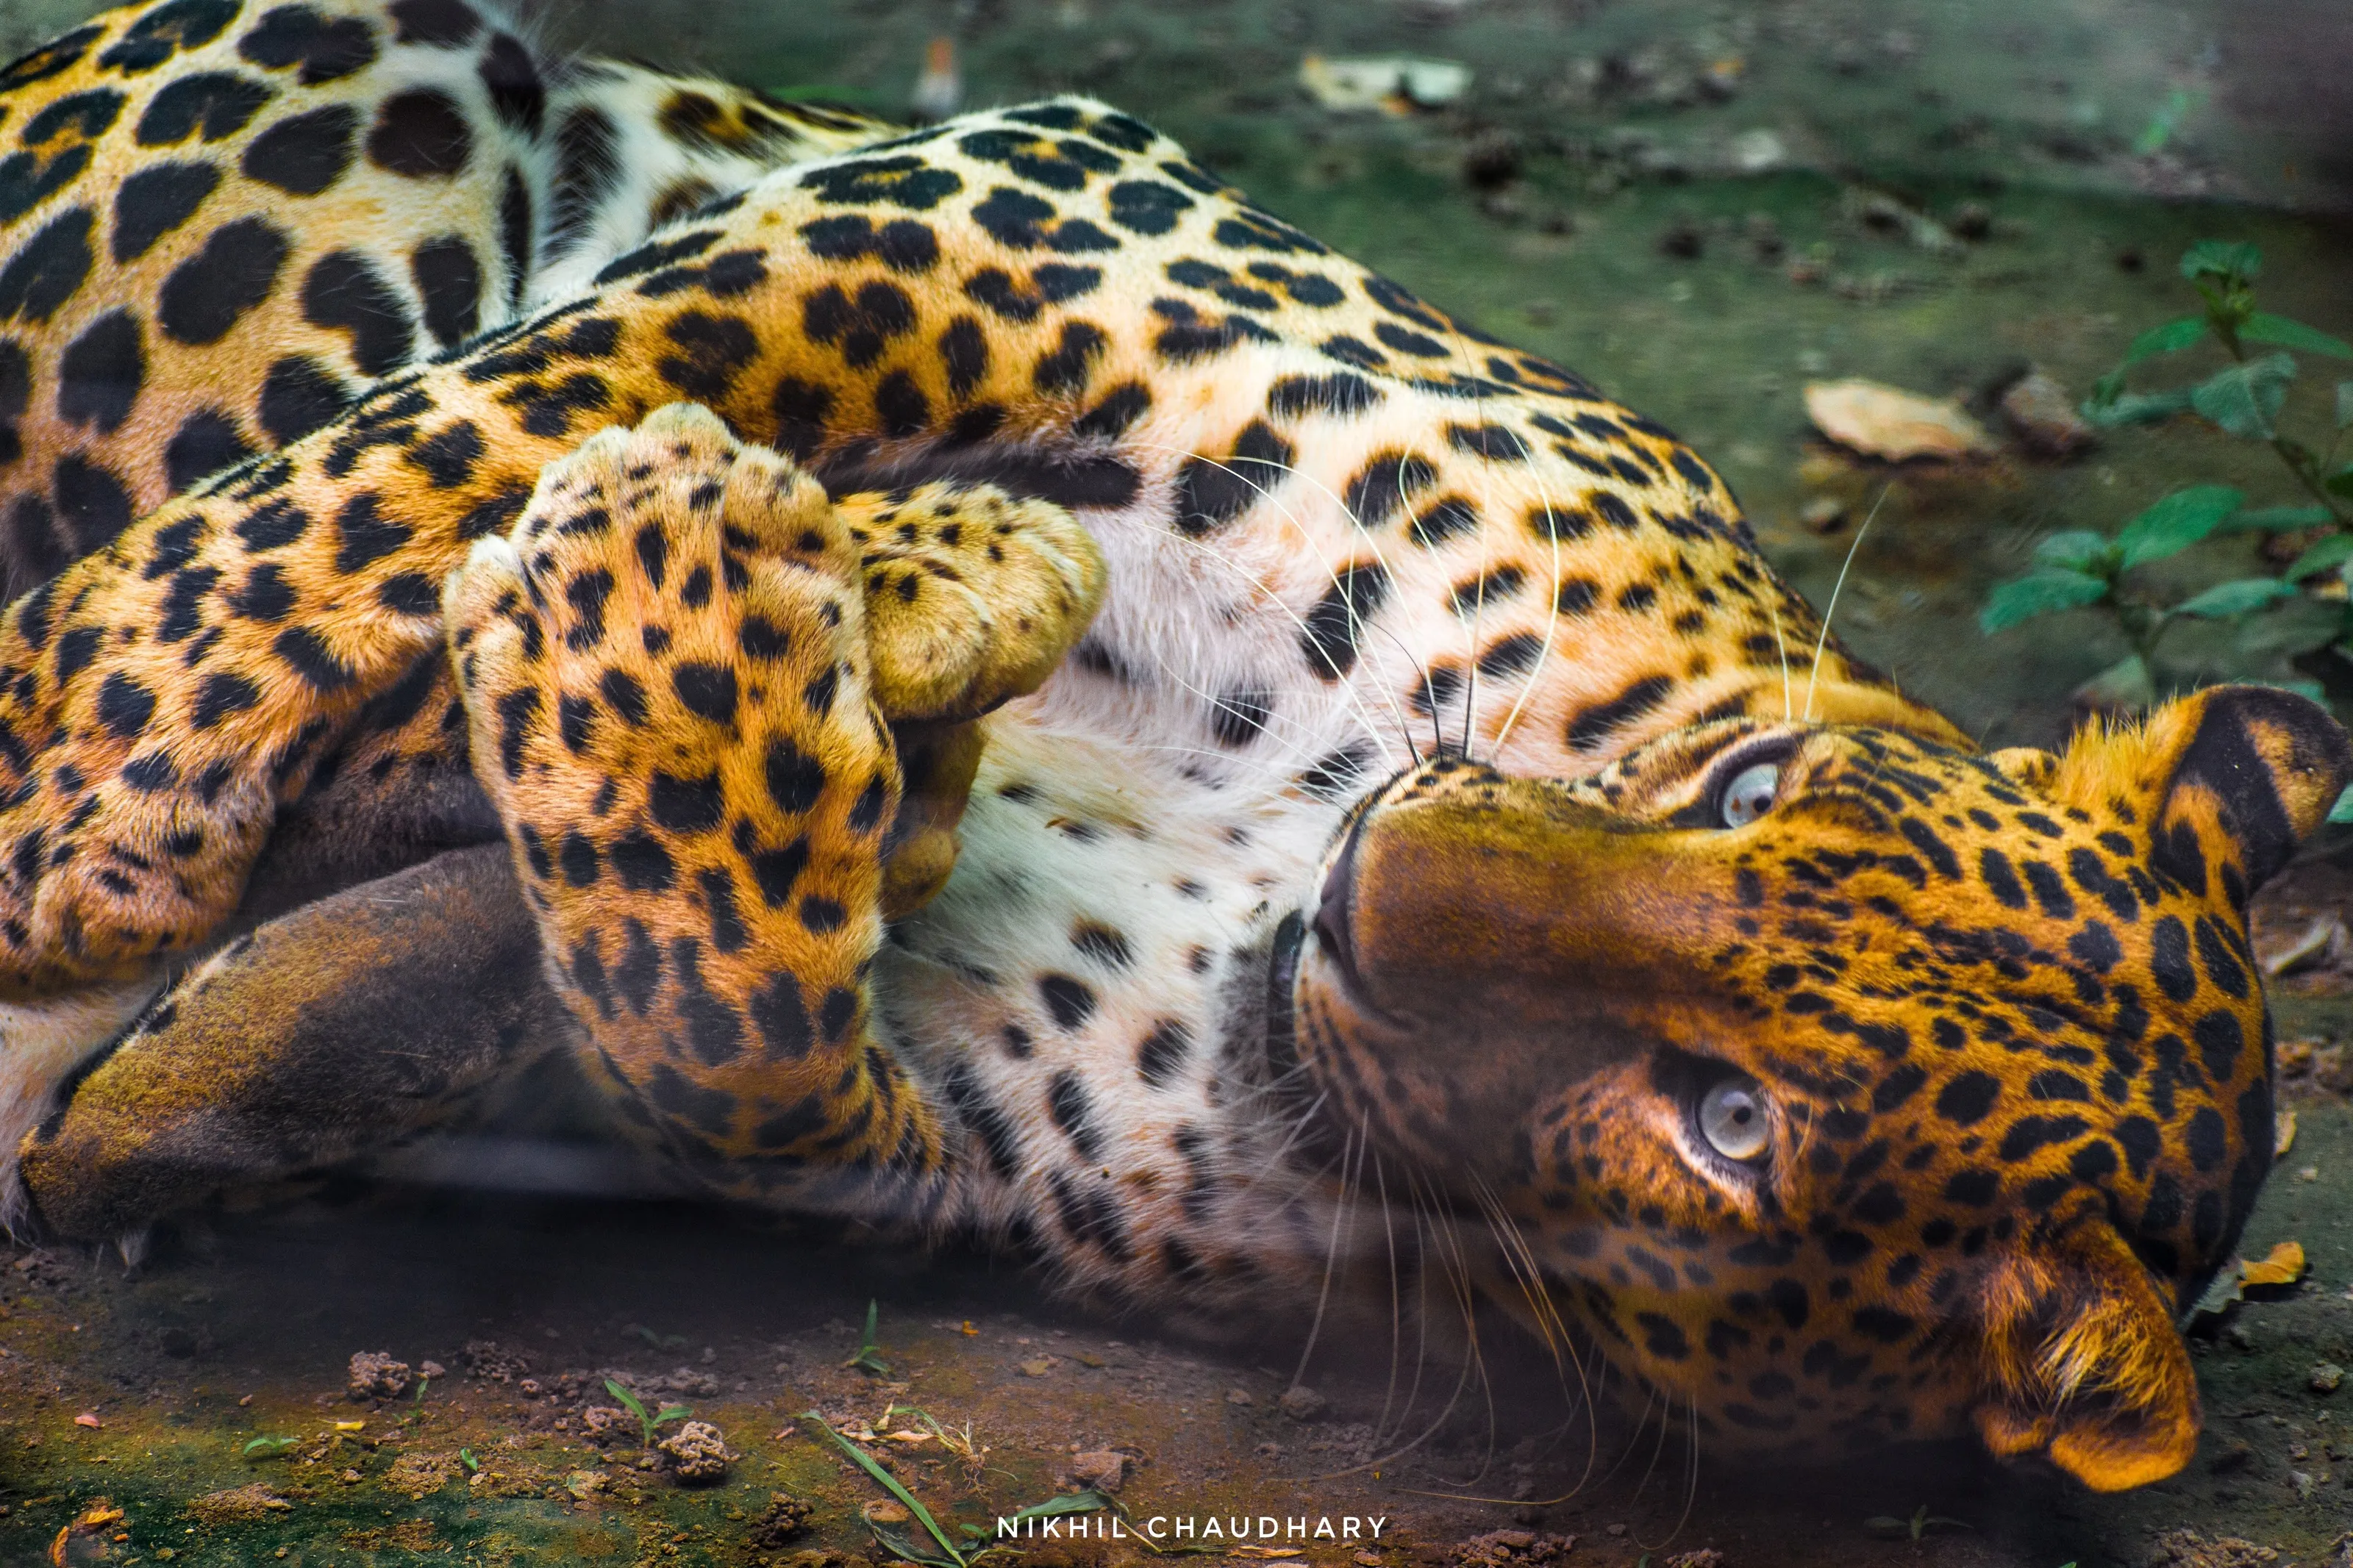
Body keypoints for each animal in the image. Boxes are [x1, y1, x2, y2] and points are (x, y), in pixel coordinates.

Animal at [0, 0, 2345, 1496]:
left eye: (1733, 1125)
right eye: (1759, 796)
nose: (1378, 891)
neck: (1271, 828)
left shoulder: (928, 1136)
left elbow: (725, 1016)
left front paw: (710, 641)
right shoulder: (1017, 212)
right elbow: (469, 422)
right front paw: (79, 787)